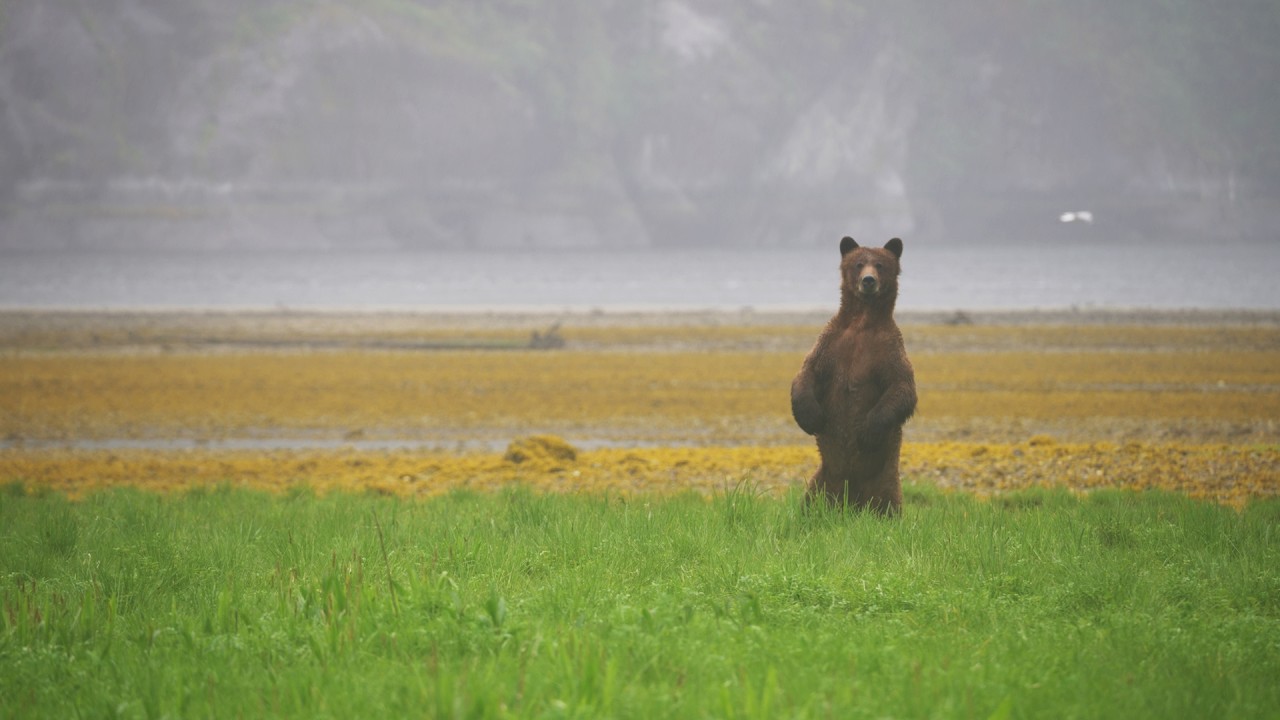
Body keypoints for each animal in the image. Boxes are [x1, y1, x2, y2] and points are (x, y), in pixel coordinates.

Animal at [791, 236, 917, 514]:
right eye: (859, 263)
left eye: (880, 264)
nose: (868, 280)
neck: (862, 323)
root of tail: (852, 501)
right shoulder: (831, 346)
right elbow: (807, 373)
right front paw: (811, 417)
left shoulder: (888, 351)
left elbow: (902, 388)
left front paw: (868, 432)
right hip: (822, 481)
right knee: (810, 502)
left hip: (886, 481)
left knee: (888, 503)